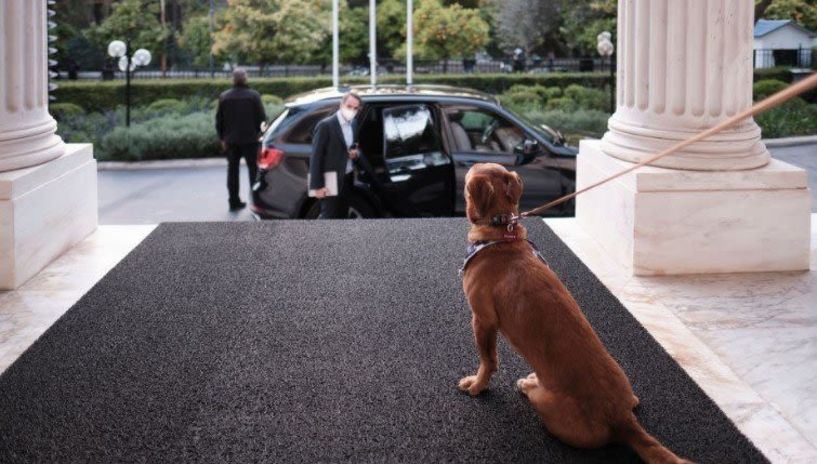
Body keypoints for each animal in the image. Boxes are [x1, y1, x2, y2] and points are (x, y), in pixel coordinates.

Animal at [460, 163, 688, 464]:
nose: (465, 164)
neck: (501, 235)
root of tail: (621, 419)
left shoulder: (482, 320)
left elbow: (487, 360)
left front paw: (477, 384)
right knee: (635, 401)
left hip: (546, 403)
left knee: (536, 397)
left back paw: (528, 383)